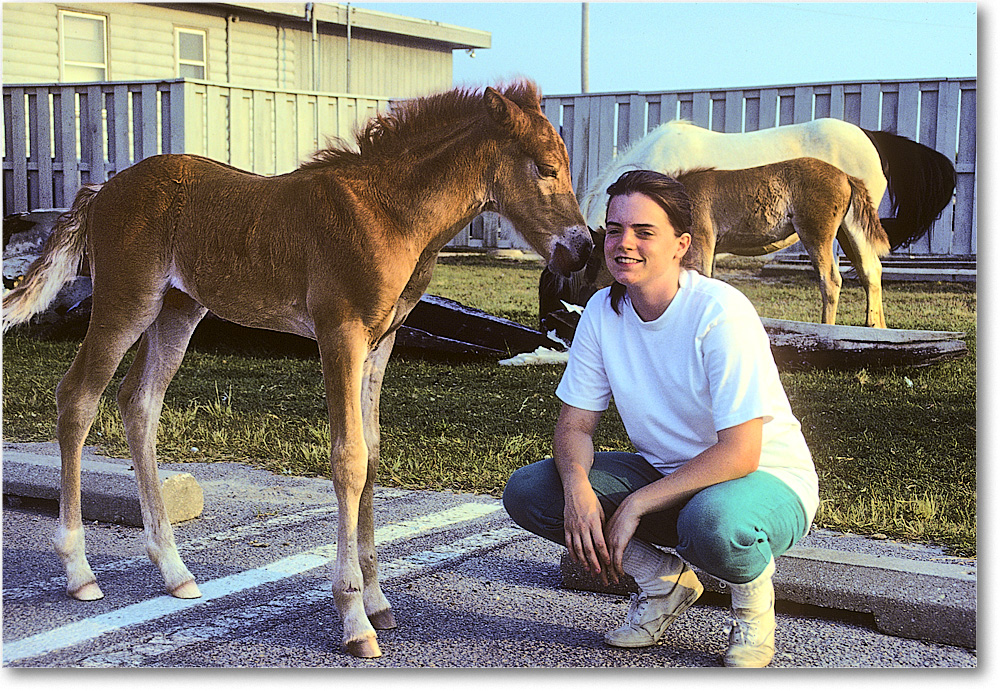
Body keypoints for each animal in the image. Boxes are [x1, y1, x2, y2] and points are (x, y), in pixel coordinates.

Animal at [2, 80, 592, 659]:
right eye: (545, 167)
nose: (583, 249)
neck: (387, 212)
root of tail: (99, 192)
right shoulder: (340, 334)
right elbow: (349, 459)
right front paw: (354, 619)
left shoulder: (381, 343)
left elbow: (373, 452)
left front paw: (378, 601)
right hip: (127, 303)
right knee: (78, 397)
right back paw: (79, 571)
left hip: (177, 310)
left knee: (138, 403)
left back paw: (174, 571)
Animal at [542, 158, 890, 333]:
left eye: (593, 263)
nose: (583, 298)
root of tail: (845, 175)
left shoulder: (701, 245)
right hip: (848, 232)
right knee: (870, 270)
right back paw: (876, 326)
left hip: (817, 233)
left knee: (831, 279)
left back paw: (827, 330)